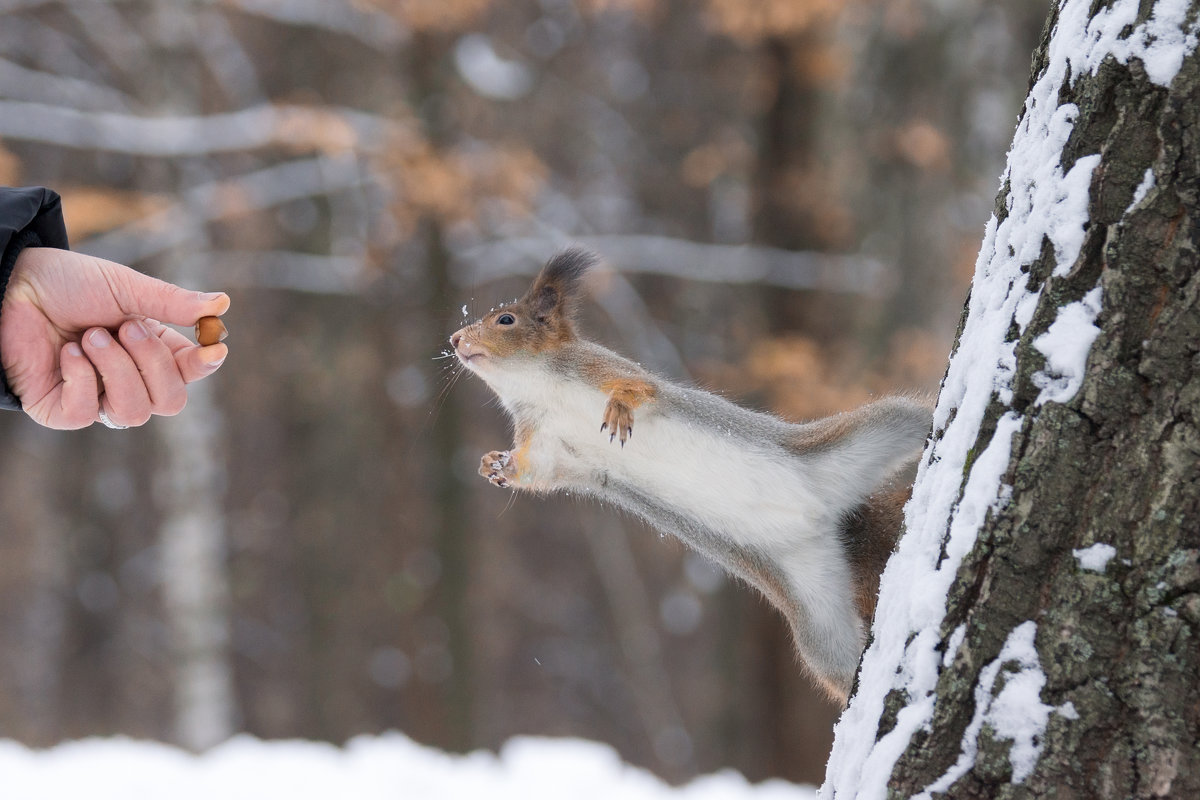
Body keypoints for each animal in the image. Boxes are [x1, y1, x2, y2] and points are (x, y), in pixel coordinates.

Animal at [451, 248, 926, 700]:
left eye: (506, 319)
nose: (455, 339)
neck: (538, 386)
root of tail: (829, 519)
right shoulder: (547, 442)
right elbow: (537, 471)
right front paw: (495, 464)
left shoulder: (601, 368)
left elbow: (640, 387)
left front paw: (619, 407)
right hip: (817, 614)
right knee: (841, 663)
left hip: (872, 433)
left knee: (913, 419)